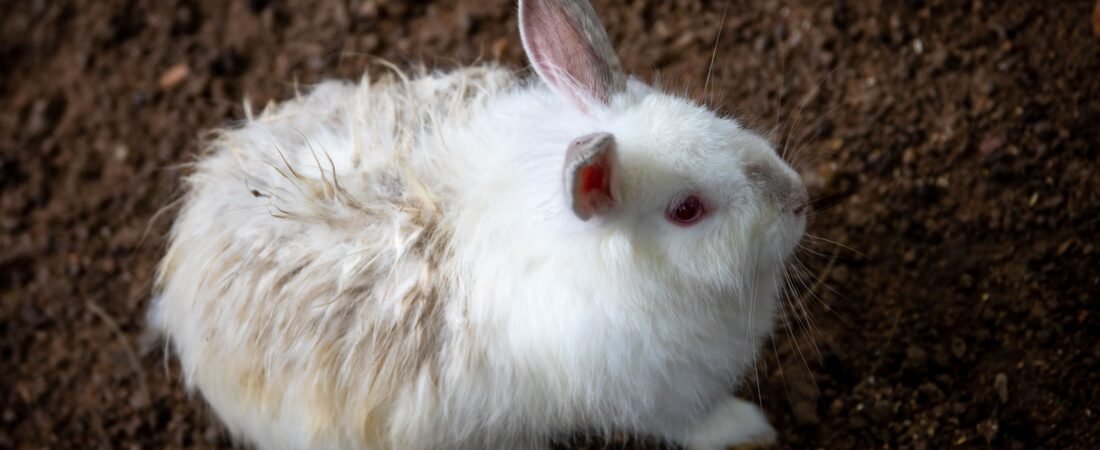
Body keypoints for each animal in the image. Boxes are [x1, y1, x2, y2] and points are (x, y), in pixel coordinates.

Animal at [149, 0, 809, 449]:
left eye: (713, 119)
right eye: (686, 211)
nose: (799, 199)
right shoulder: (656, 398)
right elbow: (698, 424)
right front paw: (752, 429)